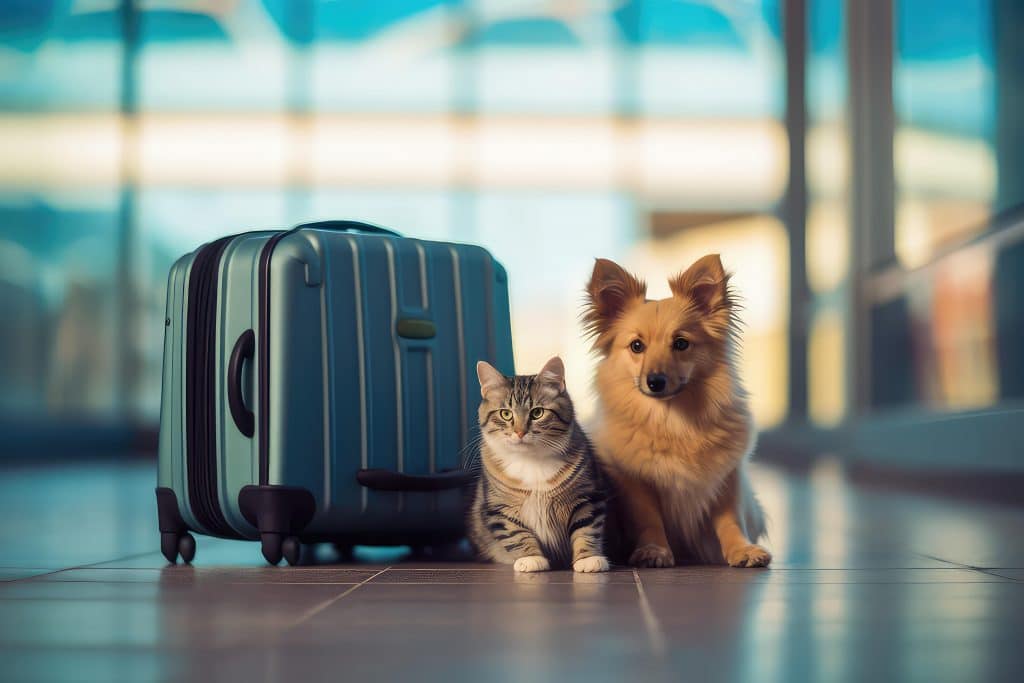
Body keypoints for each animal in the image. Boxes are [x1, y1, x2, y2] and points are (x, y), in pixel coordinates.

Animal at [468, 356, 610, 573]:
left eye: (537, 413)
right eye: (505, 414)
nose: (519, 432)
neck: (530, 460)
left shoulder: (588, 496)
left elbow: (587, 528)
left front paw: (588, 559)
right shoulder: (499, 509)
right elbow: (516, 534)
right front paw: (531, 558)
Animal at [585, 253, 770, 569]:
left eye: (681, 344)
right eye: (637, 346)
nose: (655, 381)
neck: (673, 420)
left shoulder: (726, 478)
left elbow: (730, 520)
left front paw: (741, 550)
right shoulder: (636, 483)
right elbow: (649, 519)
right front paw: (654, 551)